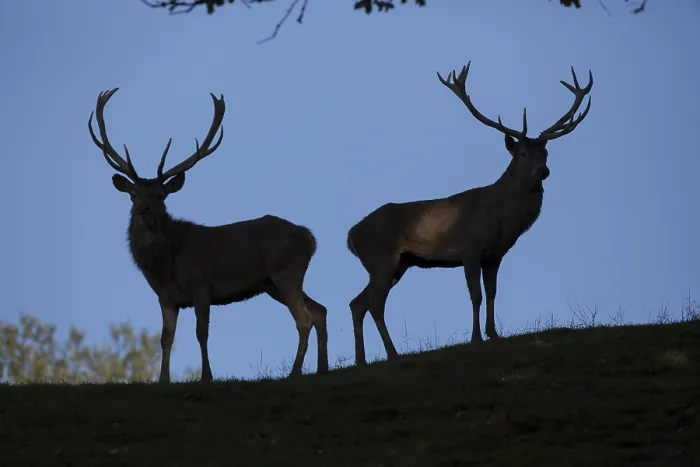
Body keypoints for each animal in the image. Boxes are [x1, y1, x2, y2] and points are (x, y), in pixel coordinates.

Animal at [88, 88, 329, 382]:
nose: (144, 208)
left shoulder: (202, 285)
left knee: (303, 319)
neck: (165, 264)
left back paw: (295, 373)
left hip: (286, 272)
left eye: (160, 195)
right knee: (319, 311)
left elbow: (201, 333)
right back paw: (322, 368)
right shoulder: (166, 297)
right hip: (272, 284)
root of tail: (310, 238)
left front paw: (206, 376)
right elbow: (165, 338)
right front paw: (163, 379)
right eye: (134, 194)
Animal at [346, 61, 593, 366]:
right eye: (522, 153)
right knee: (375, 304)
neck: (500, 216)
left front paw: (494, 334)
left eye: (545, 153)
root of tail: (351, 236)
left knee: (358, 303)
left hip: (397, 264)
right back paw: (392, 354)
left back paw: (361, 360)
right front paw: (476, 338)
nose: (543, 171)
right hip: (381, 258)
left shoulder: (495, 255)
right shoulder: (470, 249)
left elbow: (492, 293)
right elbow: (475, 296)